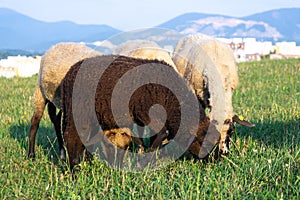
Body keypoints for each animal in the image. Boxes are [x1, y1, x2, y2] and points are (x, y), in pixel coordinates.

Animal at [60, 54, 202, 169]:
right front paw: (143, 160)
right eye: (200, 139)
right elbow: (161, 134)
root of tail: (68, 75)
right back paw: (74, 170)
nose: (207, 161)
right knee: (71, 137)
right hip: (78, 112)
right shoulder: (145, 112)